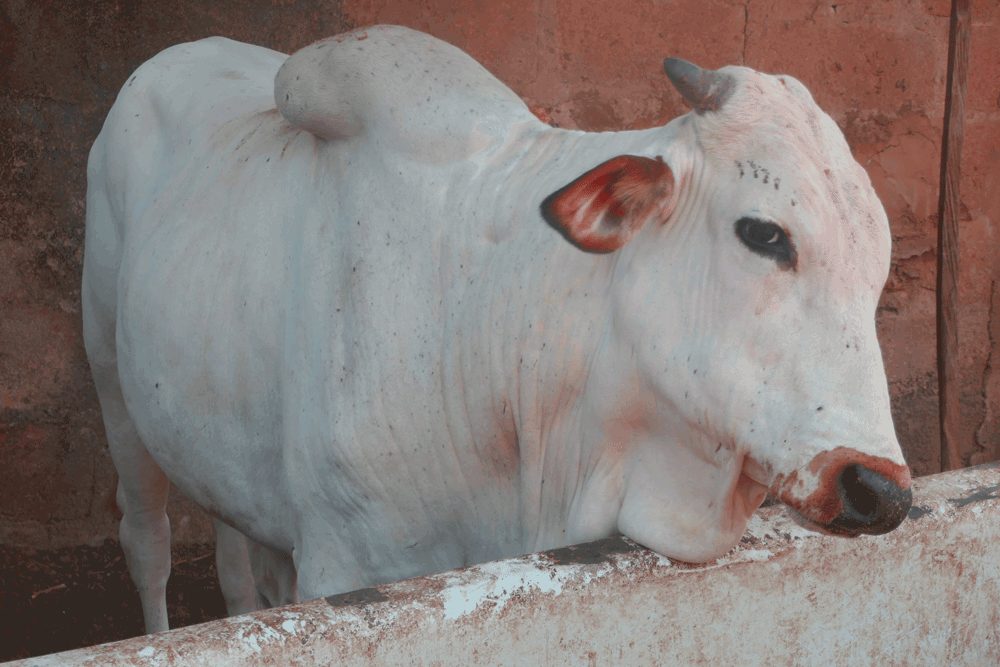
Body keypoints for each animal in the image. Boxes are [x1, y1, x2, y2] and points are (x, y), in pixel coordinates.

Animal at [83, 25, 912, 632]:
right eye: (764, 234)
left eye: (877, 264)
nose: (879, 488)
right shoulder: (341, 567)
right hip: (114, 391)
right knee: (148, 547)